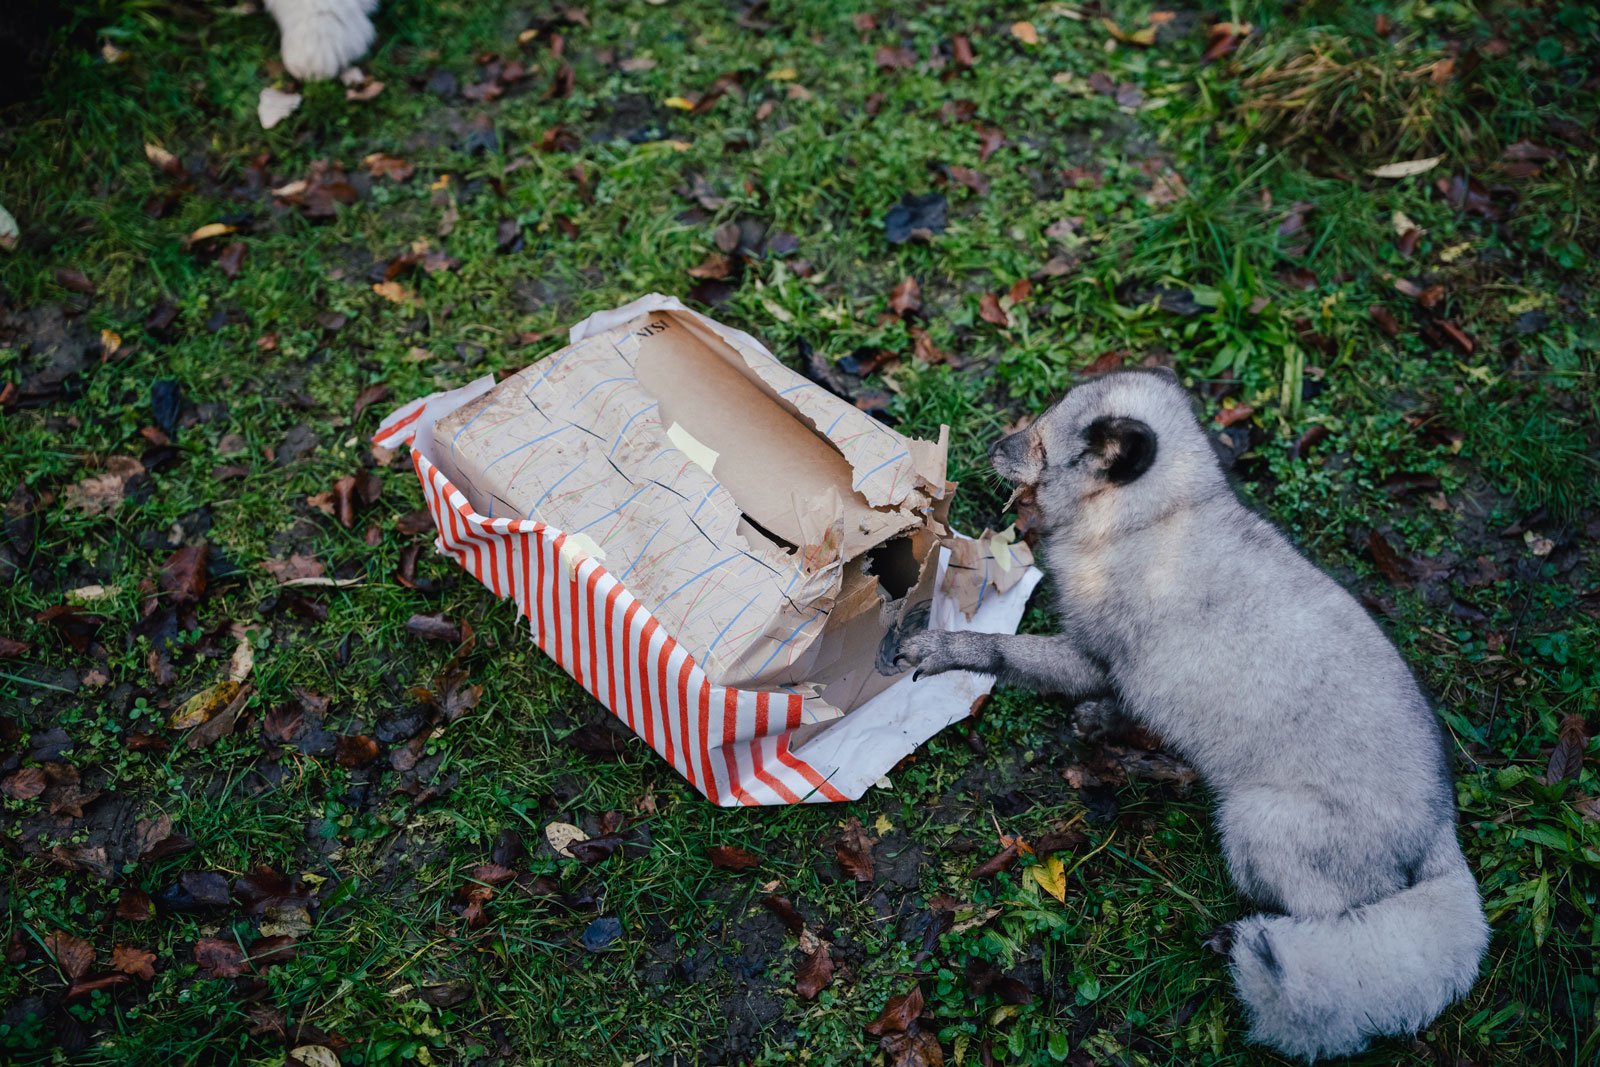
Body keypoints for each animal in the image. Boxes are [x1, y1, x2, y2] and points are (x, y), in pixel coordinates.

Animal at [902, 371, 1484, 1055]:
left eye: (1041, 443)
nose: (993, 446)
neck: (1154, 519)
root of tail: (1441, 825)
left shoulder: (1094, 652)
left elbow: (1009, 652)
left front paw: (948, 649)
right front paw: (1102, 721)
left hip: (1258, 824)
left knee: (1332, 919)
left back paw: (1236, 940)